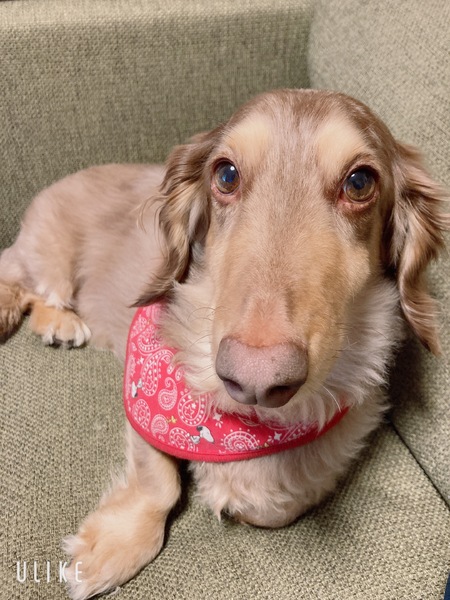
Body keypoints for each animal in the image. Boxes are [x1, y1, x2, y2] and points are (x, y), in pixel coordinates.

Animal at [0, 89, 448, 599]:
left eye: (360, 182)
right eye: (226, 175)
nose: (254, 379)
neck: (240, 423)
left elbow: (273, 502)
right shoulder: (142, 389)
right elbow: (158, 484)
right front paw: (113, 544)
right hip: (49, 259)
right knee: (23, 284)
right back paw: (54, 319)